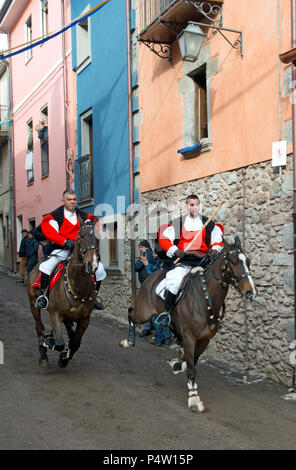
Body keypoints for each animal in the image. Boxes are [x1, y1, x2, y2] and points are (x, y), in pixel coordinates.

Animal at [26, 222, 98, 370]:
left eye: (97, 238)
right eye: (81, 237)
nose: (92, 265)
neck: (78, 285)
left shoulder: (85, 319)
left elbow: (75, 342)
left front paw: (65, 357)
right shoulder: (55, 313)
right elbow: (59, 343)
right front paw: (50, 342)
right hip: (33, 304)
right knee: (39, 327)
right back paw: (43, 354)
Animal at [120, 235, 256, 412]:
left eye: (248, 260)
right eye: (233, 261)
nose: (250, 291)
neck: (206, 295)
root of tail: (152, 275)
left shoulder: (204, 340)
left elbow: (193, 362)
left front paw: (179, 364)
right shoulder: (190, 337)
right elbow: (192, 368)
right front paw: (194, 398)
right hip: (142, 313)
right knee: (130, 312)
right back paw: (129, 341)